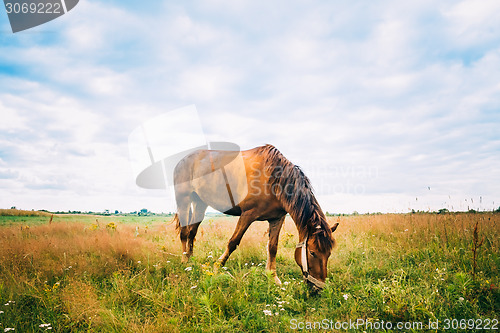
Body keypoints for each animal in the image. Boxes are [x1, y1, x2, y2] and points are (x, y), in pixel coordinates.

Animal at [173, 144, 340, 290]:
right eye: (312, 252)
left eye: (329, 254)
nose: (318, 288)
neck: (273, 179)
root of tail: (182, 161)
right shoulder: (247, 214)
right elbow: (233, 242)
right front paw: (217, 267)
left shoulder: (277, 218)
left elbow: (273, 247)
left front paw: (273, 277)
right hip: (184, 200)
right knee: (184, 233)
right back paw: (184, 260)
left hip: (200, 203)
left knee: (192, 232)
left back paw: (190, 258)